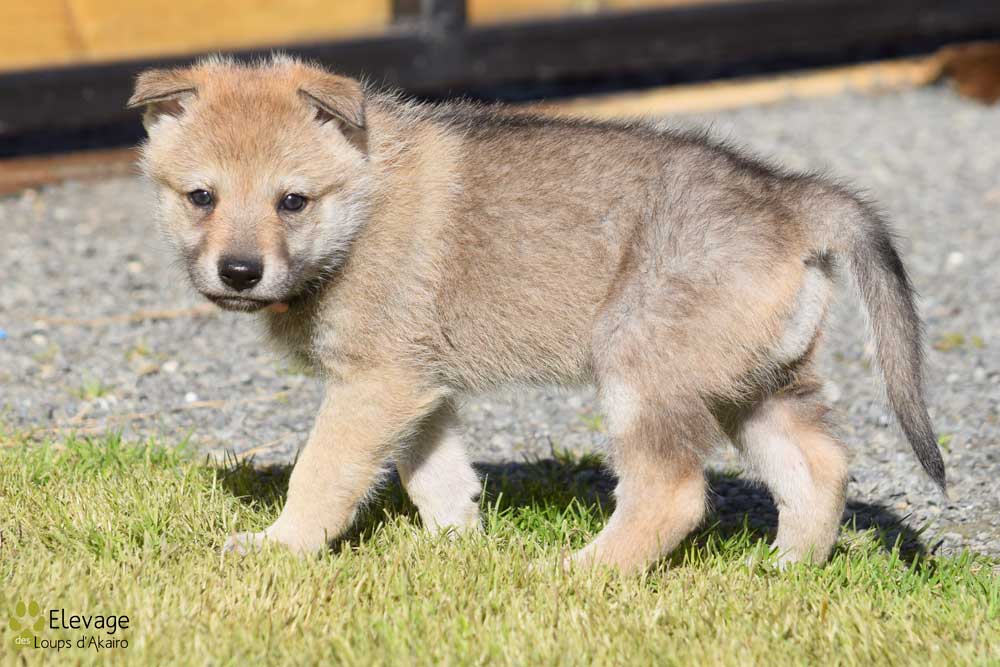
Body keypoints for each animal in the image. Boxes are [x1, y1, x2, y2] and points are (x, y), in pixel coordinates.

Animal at [128, 55, 945, 571]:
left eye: (292, 201)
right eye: (201, 197)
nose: (239, 272)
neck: (361, 206)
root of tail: (791, 198)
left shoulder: (372, 384)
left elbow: (321, 473)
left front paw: (281, 546)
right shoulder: (416, 388)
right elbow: (437, 477)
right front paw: (455, 550)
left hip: (643, 376)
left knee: (673, 494)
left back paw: (583, 571)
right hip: (754, 385)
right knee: (818, 468)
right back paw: (784, 569)